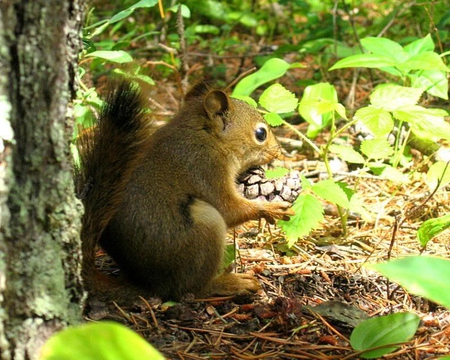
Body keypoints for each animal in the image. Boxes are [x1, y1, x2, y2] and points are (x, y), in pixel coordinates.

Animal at [77, 80, 294, 302]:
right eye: (260, 134)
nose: (278, 151)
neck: (209, 137)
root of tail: (151, 286)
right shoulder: (207, 169)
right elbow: (228, 209)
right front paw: (270, 208)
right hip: (205, 227)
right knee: (192, 288)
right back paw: (229, 283)